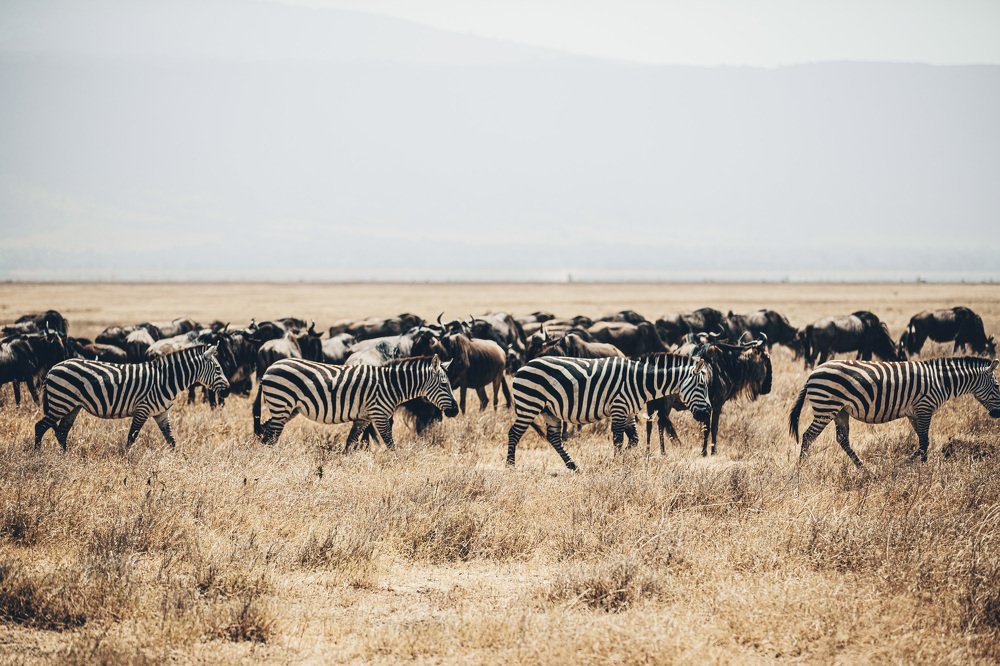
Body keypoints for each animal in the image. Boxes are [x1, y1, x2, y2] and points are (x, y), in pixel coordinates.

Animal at [35, 345, 229, 450]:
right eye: (218, 369)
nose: (227, 391)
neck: (165, 380)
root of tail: (53, 368)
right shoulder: (143, 409)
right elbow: (131, 438)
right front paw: (125, 459)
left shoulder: (161, 414)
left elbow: (171, 439)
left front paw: (180, 459)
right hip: (61, 401)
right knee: (40, 426)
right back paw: (38, 456)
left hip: (72, 406)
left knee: (61, 431)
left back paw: (65, 456)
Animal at [253, 355, 459, 449]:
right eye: (444, 384)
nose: (455, 411)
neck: (390, 386)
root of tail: (269, 369)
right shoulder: (379, 415)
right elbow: (390, 443)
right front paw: (397, 464)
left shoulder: (364, 417)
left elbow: (350, 442)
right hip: (281, 403)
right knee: (271, 435)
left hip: (288, 409)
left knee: (265, 429)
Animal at [506, 354, 713, 470]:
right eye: (702, 386)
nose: (707, 413)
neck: (641, 382)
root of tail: (523, 366)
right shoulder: (619, 407)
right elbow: (618, 439)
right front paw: (615, 463)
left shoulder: (628, 412)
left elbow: (633, 440)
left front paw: (622, 459)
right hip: (529, 404)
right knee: (514, 433)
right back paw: (510, 466)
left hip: (549, 411)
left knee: (554, 438)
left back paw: (573, 466)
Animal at [789, 357, 1000, 466]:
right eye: (998, 386)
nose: (997, 415)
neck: (941, 381)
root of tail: (813, 373)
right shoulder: (924, 407)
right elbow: (924, 441)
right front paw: (915, 466)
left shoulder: (915, 412)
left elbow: (923, 440)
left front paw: (919, 464)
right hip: (826, 407)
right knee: (808, 436)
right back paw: (802, 467)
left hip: (840, 411)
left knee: (842, 439)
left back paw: (863, 468)